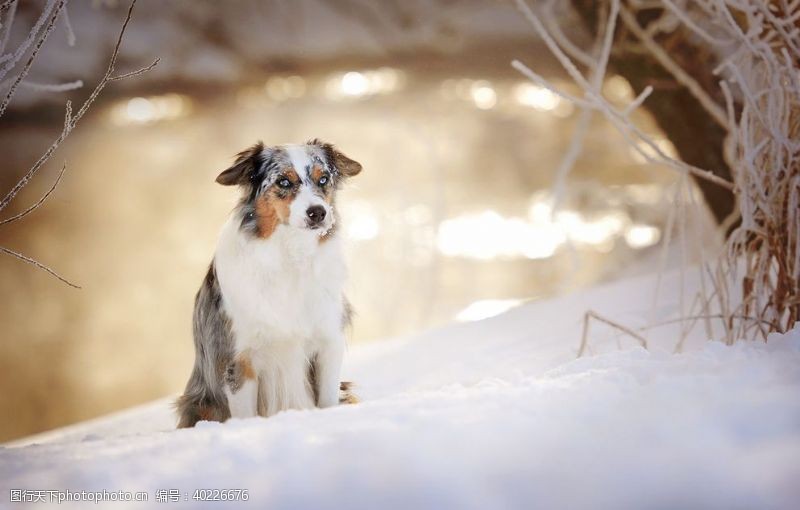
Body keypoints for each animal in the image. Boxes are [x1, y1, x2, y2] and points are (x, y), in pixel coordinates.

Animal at [178, 138, 362, 426]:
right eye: (284, 182)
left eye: (323, 179)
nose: (318, 213)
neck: (291, 254)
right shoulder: (239, 359)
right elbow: (245, 414)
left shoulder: (328, 340)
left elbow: (327, 401)